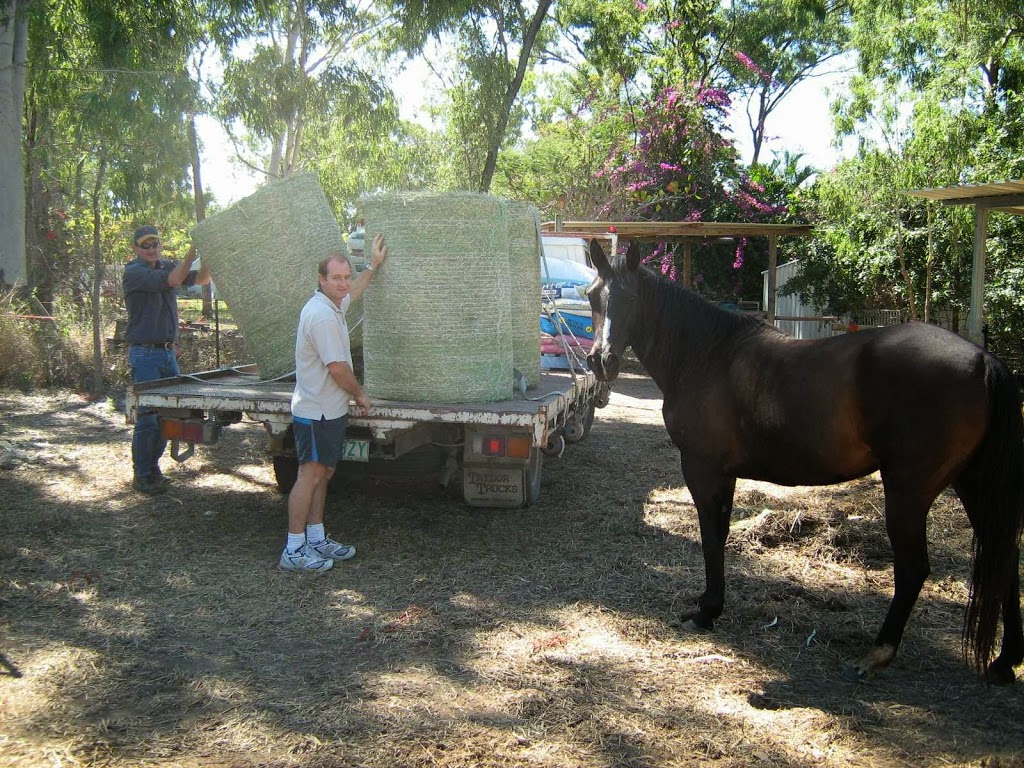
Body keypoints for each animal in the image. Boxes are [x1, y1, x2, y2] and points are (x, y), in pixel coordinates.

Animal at [585, 237, 1024, 684]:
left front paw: (706, 612)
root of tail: (984, 360)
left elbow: (711, 537)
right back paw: (1004, 661)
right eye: (592, 296)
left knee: (914, 567)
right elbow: (720, 535)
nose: (602, 361)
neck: (706, 355)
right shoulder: (724, 475)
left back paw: (877, 653)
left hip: (909, 491)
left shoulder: (703, 470)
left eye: (633, 299)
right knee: (1003, 559)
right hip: (972, 483)